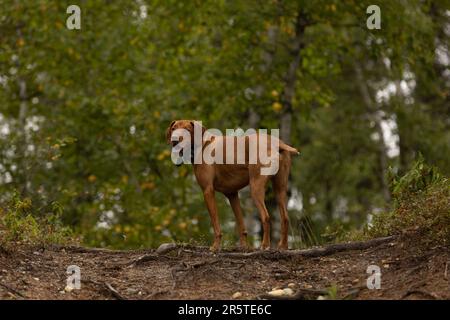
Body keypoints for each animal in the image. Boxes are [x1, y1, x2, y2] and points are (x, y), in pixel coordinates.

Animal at [166, 119, 298, 250]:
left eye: (187, 130)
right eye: (173, 129)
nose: (174, 140)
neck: (202, 144)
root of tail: (277, 143)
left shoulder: (208, 191)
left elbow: (216, 224)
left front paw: (215, 246)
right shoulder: (232, 194)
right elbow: (241, 224)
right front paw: (244, 247)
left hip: (256, 187)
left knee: (266, 217)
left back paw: (265, 245)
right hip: (280, 189)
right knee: (285, 218)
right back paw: (283, 246)